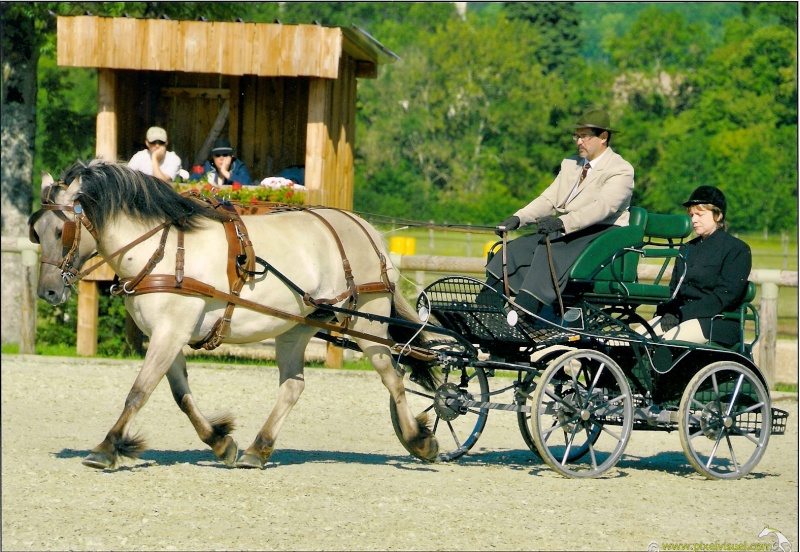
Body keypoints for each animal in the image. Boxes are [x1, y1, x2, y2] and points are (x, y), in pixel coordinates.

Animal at [31, 160, 440, 470]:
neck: (163, 251)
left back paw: (419, 440)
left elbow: (139, 392)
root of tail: (364, 228)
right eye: (36, 231)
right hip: (297, 327)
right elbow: (181, 396)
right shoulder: (169, 335)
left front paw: (107, 447)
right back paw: (258, 449)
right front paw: (220, 442)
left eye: (62, 230)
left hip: (365, 321)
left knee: (393, 378)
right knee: (293, 386)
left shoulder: (170, 333)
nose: (47, 291)